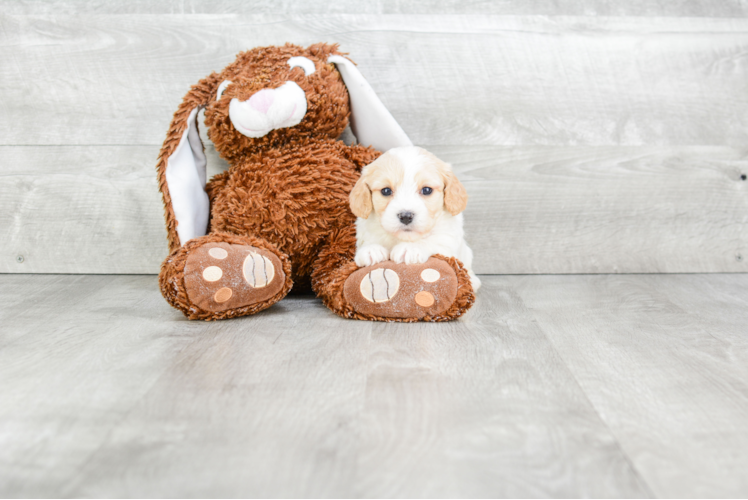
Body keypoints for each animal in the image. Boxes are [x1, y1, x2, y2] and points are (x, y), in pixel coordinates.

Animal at [350, 146, 482, 290]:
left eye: (427, 190)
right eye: (386, 191)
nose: (406, 216)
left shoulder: (447, 240)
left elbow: (432, 240)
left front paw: (410, 248)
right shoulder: (365, 231)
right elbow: (368, 240)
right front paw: (371, 250)